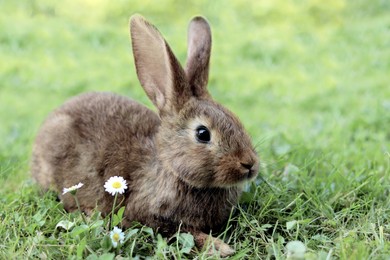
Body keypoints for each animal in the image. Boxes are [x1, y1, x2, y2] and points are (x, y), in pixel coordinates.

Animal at [31, 14, 258, 256]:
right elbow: (185, 233)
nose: (250, 164)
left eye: (236, 119)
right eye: (203, 133)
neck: (170, 169)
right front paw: (222, 248)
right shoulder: (150, 217)